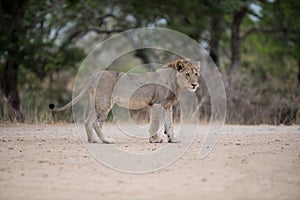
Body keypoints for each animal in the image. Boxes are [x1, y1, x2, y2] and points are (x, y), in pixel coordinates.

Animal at [49, 58, 200, 144]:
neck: (176, 82)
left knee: (88, 121)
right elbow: (155, 124)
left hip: (95, 103)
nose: (195, 85)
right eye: (187, 74)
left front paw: (172, 139)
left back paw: (93, 140)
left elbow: (169, 124)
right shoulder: (156, 104)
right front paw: (155, 139)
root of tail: (93, 76)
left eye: (196, 74)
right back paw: (106, 140)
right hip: (105, 102)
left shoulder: (167, 106)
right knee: (97, 123)